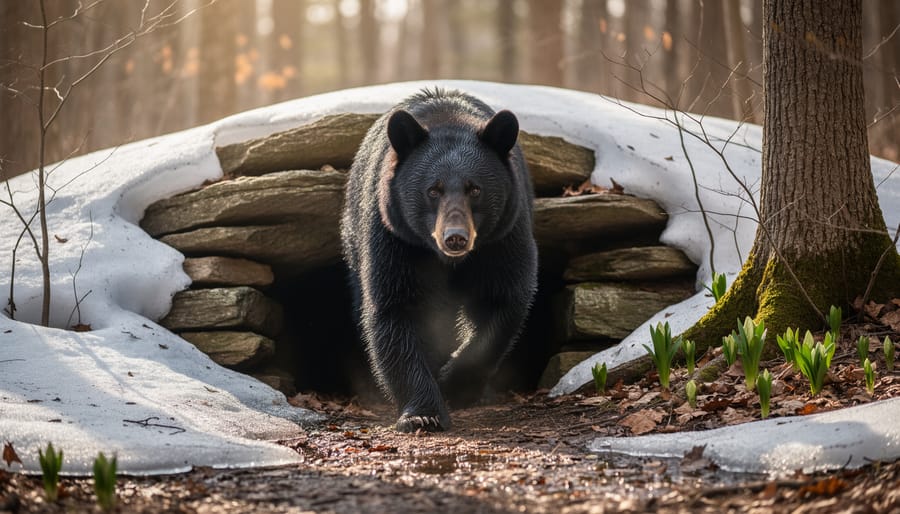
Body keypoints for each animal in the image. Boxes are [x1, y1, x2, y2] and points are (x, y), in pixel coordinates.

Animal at [340, 88, 538, 432]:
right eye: (433, 190)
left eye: (475, 189)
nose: (455, 237)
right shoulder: (396, 238)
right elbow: (396, 307)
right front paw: (423, 413)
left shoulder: (503, 236)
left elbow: (503, 298)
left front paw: (455, 385)